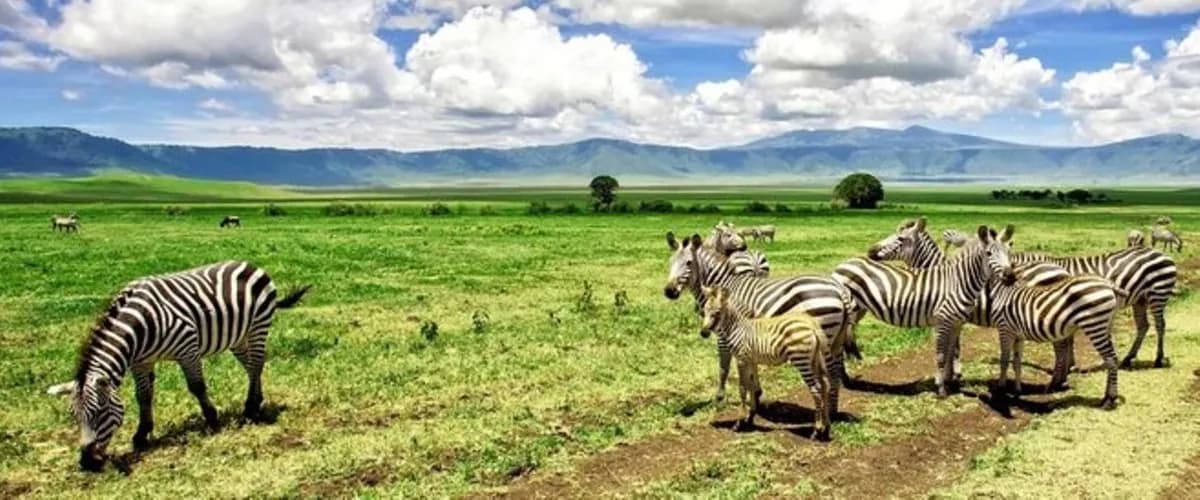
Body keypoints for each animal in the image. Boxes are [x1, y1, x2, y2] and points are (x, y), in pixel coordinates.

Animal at [46, 261, 310, 472]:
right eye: (73, 416)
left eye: (99, 412)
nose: (88, 463)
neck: (139, 326)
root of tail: (249, 264)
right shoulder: (141, 362)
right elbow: (143, 396)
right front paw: (141, 435)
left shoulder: (188, 349)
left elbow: (197, 387)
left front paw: (212, 419)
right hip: (238, 337)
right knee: (254, 365)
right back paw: (257, 400)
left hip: (258, 326)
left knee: (255, 366)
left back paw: (251, 409)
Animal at [664, 232, 854, 414]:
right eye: (670, 262)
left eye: (689, 263)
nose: (669, 292)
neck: (722, 286)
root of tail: (838, 288)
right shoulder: (750, 335)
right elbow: (752, 365)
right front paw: (755, 394)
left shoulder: (724, 334)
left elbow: (724, 366)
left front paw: (719, 398)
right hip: (835, 338)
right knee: (837, 368)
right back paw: (833, 409)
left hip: (823, 335)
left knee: (831, 372)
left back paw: (830, 412)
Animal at [699, 285, 836, 440]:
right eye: (704, 311)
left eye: (716, 312)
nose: (703, 333)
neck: (737, 329)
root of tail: (811, 324)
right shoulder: (750, 360)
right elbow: (751, 386)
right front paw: (750, 417)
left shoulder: (741, 359)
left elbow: (742, 389)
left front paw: (739, 423)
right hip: (815, 359)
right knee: (825, 385)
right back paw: (826, 428)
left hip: (801, 360)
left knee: (816, 389)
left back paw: (816, 430)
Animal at [834, 224, 1016, 397]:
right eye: (989, 253)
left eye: (1009, 252)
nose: (1011, 276)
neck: (958, 281)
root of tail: (842, 265)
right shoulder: (943, 321)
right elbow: (943, 354)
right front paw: (942, 386)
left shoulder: (957, 322)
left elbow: (951, 351)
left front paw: (950, 380)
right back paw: (844, 380)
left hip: (858, 311)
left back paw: (845, 379)